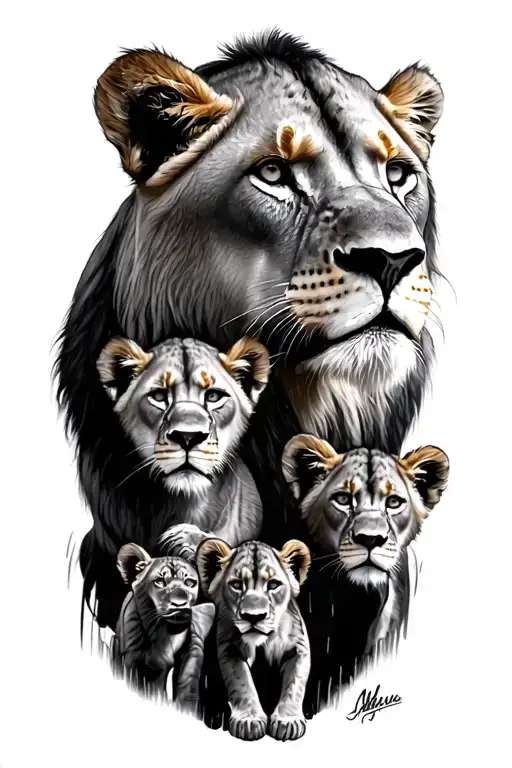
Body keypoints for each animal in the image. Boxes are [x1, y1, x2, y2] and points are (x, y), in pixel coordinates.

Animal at [115, 543, 215, 713]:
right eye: (160, 582)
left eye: (190, 583)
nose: (180, 604)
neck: (165, 634)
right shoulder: (133, 659)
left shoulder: (191, 657)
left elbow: (186, 689)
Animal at [196, 537, 311, 741]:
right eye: (236, 584)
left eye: (273, 585)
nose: (254, 616)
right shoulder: (228, 647)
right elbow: (242, 683)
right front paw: (249, 721)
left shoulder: (298, 648)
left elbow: (294, 684)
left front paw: (288, 721)